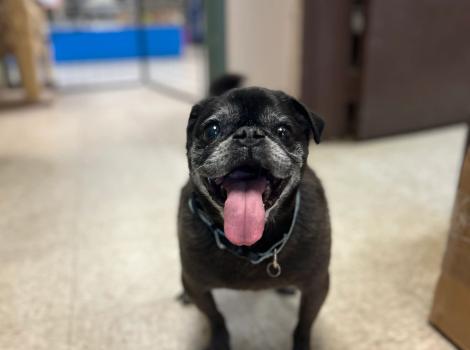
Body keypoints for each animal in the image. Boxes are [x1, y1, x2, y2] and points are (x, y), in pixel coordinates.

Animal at [176, 77, 330, 350]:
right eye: (212, 130)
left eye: (283, 131)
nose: (249, 133)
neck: (253, 247)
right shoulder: (197, 286)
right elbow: (216, 318)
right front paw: (219, 342)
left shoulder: (317, 286)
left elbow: (303, 326)